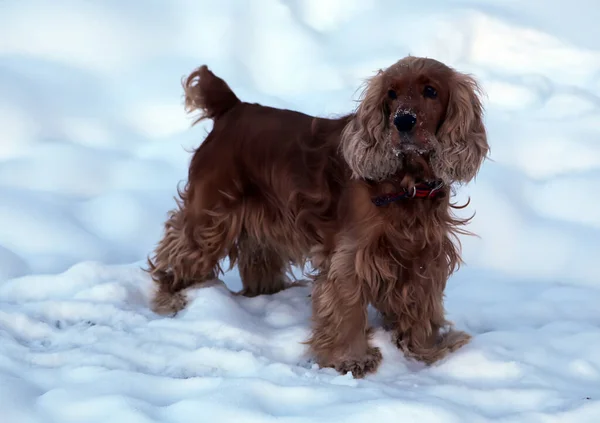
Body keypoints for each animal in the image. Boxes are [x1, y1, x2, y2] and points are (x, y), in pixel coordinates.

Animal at [148, 55, 490, 378]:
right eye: (391, 94)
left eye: (431, 91)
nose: (402, 121)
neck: (408, 183)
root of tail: (233, 108)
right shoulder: (352, 256)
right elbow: (347, 308)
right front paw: (351, 359)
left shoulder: (425, 255)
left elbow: (421, 307)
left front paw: (426, 351)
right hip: (211, 216)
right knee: (177, 251)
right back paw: (171, 298)